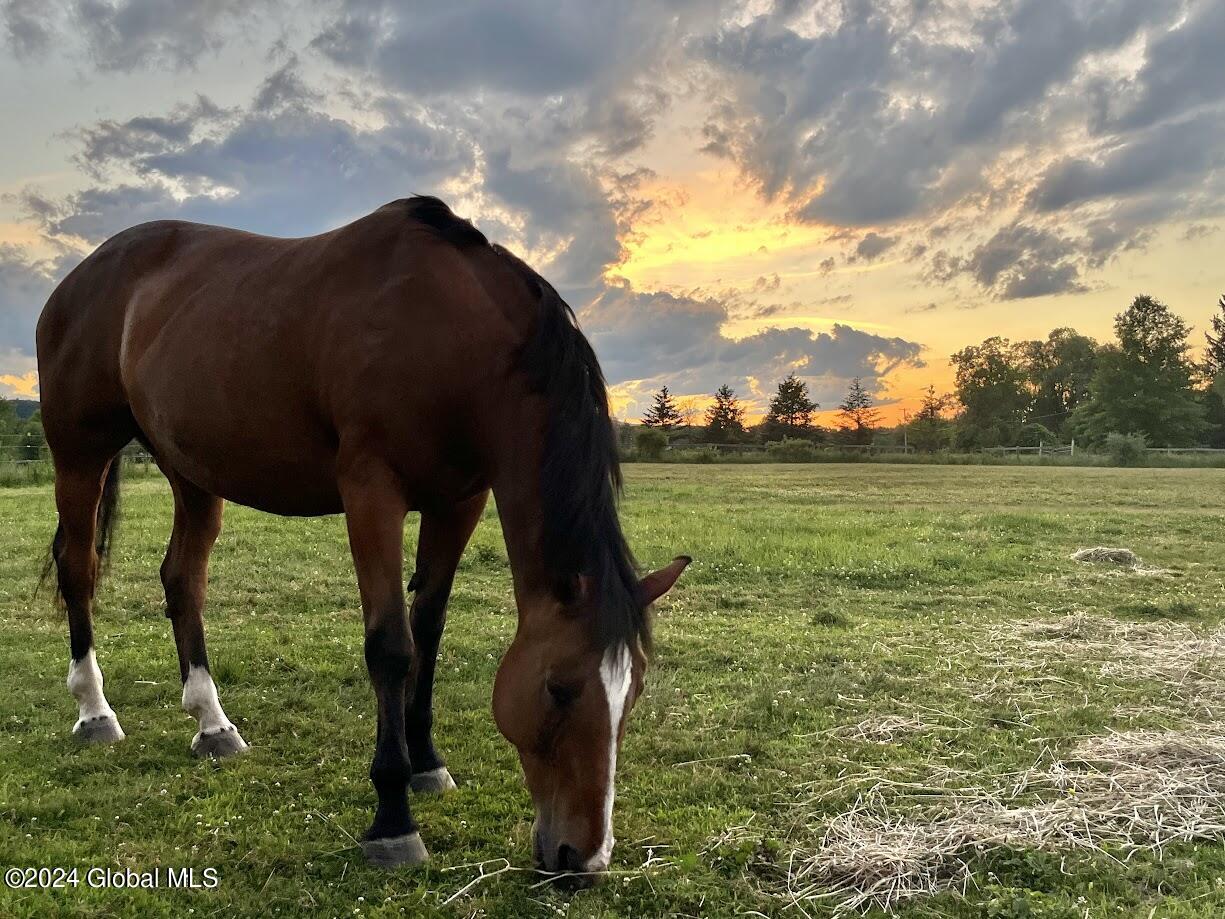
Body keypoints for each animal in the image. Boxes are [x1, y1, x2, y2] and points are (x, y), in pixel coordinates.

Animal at [35, 196, 690, 877]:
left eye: (634, 691)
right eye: (559, 689)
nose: (584, 859)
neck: (450, 338)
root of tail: (83, 275)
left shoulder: (459, 502)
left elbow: (429, 628)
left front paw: (427, 763)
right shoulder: (371, 494)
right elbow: (392, 645)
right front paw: (393, 819)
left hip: (191, 471)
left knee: (182, 579)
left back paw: (212, 724)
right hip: (79, 455)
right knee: (79, 569)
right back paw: (95, 712)